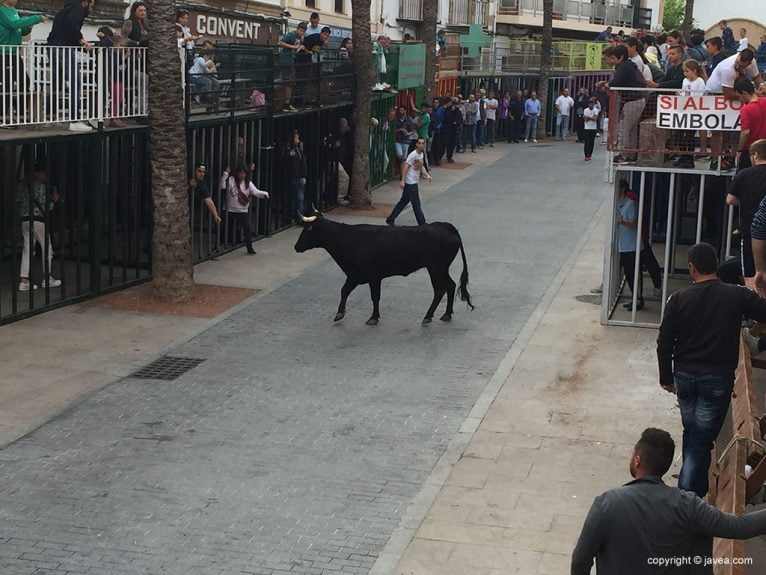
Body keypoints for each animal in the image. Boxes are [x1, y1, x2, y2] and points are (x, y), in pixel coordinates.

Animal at [294, 217, 474, 326]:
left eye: (308, 230)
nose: (296, 247)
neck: (349, 239)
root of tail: (445, 226)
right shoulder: (354, 275)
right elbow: (344, 290)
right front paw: (340, 313)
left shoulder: (373, 276)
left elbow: (375, 296)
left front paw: (373, 317)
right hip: (442, 268)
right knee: (451, 286)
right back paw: (447, 314)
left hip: (436, 269)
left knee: (440, 290)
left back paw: (428, 316)